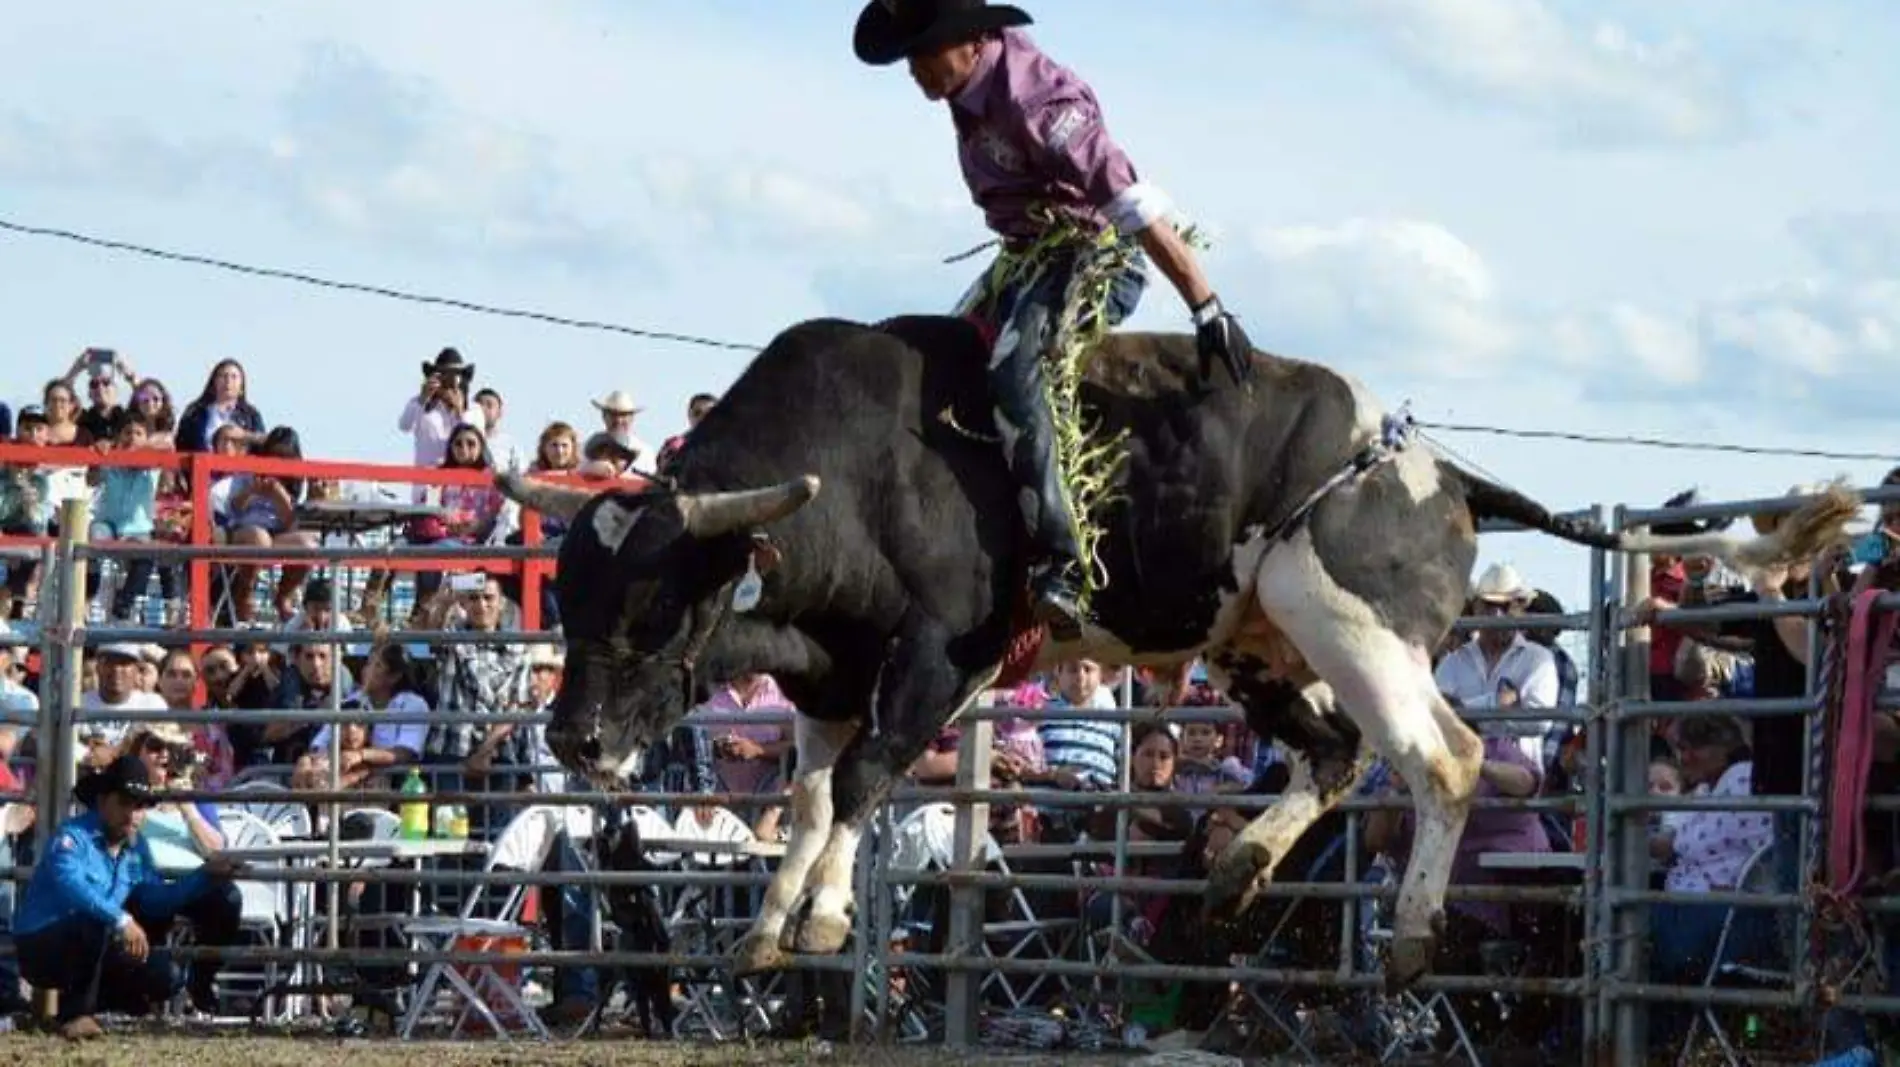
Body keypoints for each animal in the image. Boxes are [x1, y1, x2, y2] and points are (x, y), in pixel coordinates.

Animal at [494, 315, 1854, 987]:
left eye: (654, 605)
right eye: (573, 594)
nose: (571, 735)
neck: (867, 469)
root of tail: (1439, 465)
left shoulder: (939, 656)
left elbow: (870, 779)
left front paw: (814, 924)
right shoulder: (832, 672)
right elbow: (820, 795)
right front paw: (782, 925)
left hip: (1350, 623)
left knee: (1442, 758)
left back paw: (1410, 933)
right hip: (1260, 644)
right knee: (1333, 756)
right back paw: (1237, 871)